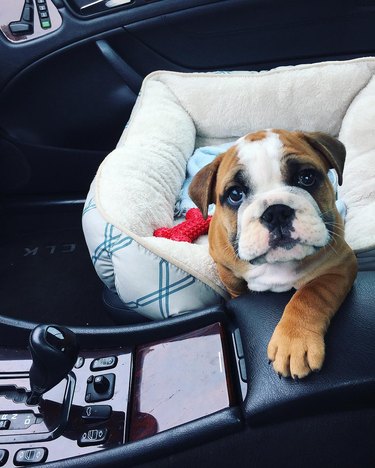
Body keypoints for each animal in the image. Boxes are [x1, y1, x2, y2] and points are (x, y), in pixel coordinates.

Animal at [191, 130, 358, 378]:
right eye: (235, 194)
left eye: (306, 178)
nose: (277, 211)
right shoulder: (225, 267)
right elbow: (236, 288)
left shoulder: (340, 265)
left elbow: (311, 295)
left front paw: (294, 341)